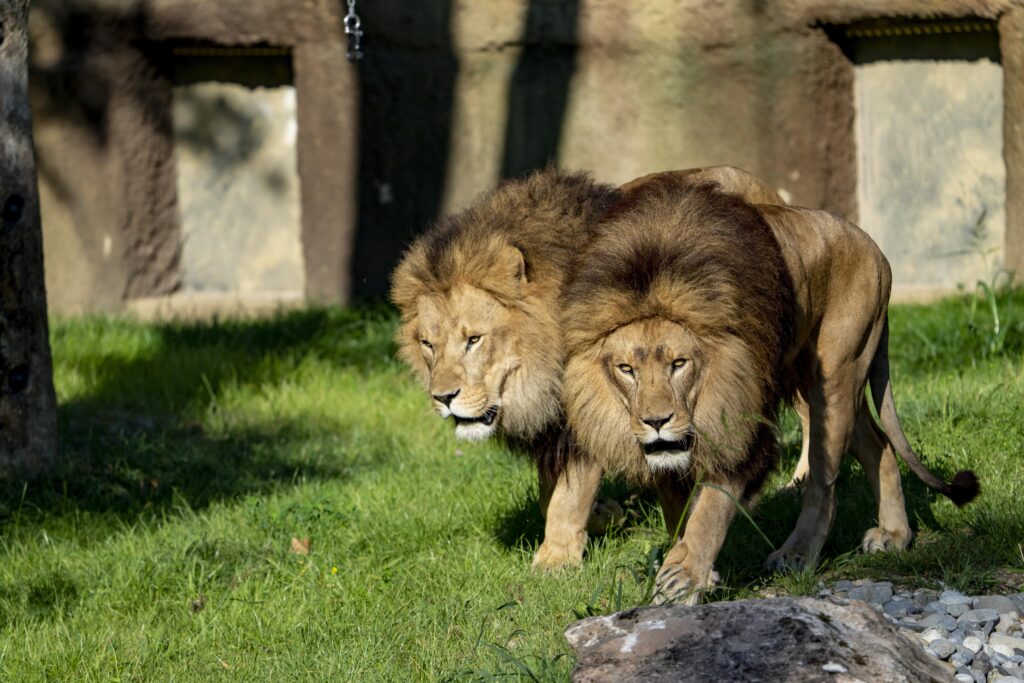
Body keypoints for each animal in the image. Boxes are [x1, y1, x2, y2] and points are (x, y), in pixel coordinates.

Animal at [389, 163, 782, 565]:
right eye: (427, 345)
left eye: (473, 340)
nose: (443, 398)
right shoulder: (553, 429)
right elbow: (549, 494)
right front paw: (604, 514)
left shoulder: (585, 410)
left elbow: (567, 497)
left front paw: (555, 561)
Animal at [561, 172, 983, 602]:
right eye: (626, 369)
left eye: (679, 364)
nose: (656, 421)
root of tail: (876, 249)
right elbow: (678, 511)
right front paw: (695, 569)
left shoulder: (741, 421)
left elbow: (710, 510)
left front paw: (684, 577)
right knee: (878, 444)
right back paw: (895, 534)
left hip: (836, 372)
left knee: (824, 482)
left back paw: (797, 553)